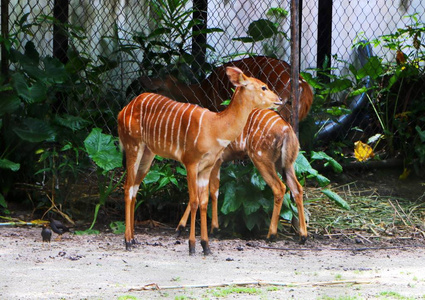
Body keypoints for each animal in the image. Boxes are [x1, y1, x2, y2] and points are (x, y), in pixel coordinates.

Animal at [117, 67, 282, 254]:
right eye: (263, 87)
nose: (279, 100)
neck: (215, 127)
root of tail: (123, 110)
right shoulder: (191, 162)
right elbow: (194, 201)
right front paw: (192, 245)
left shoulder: (207, 167)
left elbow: (204, 202)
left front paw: (206, 245)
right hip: (133, 146)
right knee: (127, 187)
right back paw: (127, 241)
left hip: (147, 155)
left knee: (135, 188)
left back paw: (134, 239)